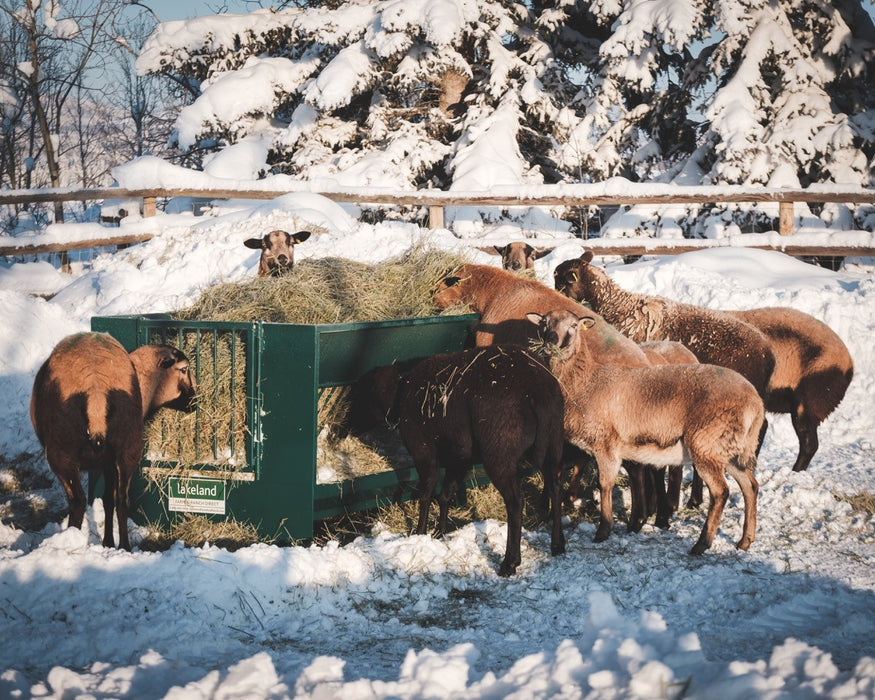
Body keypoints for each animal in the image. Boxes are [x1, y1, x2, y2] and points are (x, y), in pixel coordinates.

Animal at [30, 332, 197, 549]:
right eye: (184, 369)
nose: (195, 401)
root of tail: (95, 387)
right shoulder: (109, 462)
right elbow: (109, 500)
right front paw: (109, 543)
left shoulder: (107, 463)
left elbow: (107, 500)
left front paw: (108, 542)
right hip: (125, 446)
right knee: (117, 500)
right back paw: (121, 545)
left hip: (65, 451)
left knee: (80, 501)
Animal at [346, 346, 566, 576]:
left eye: (358, 396)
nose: (345, 426)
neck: (400, 392)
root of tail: (538, 389)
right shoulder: (459, 455)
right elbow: (445, 494)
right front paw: (439, 531)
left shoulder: (423, 449)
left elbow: (426, 493)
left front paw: (420, 532)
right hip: (554, 443)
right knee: (556, 486)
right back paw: (557, 544)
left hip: (500, 452)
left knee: (515, 502)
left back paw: (509, 562)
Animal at [527, 309, 763, 555]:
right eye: (544, 322)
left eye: (574, 325)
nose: (552, 340)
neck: (586, 382)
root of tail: (756, 403)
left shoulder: (606, 444)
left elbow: (605, 484)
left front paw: (604, 530)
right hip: (728, 448)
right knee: (750, 486)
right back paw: (745, 540)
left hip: (707, 444)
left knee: (721, 492)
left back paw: (701, 544)